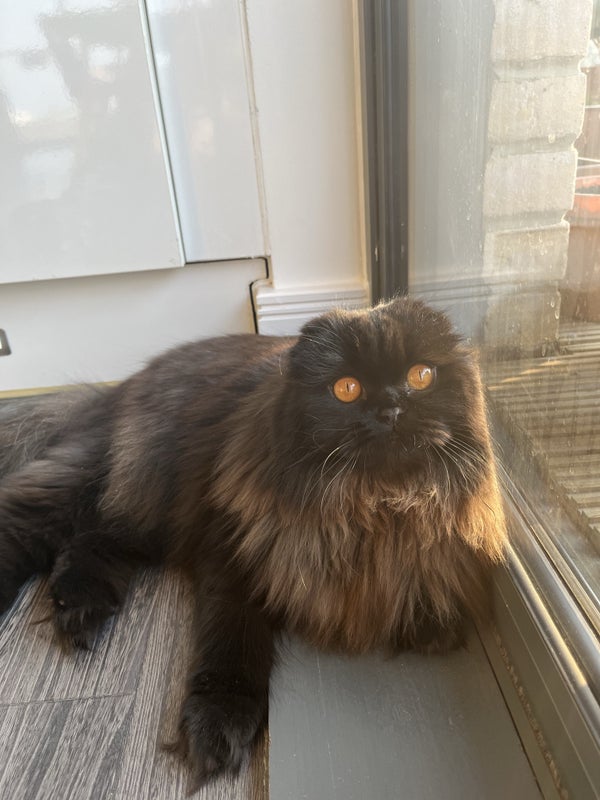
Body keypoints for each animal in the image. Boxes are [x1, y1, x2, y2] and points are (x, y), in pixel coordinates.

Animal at [0, 296, 506, 786]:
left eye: (421, 376)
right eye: (346, 389)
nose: (390, 411)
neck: (372, 507)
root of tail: (121, 388)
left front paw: (426, 624)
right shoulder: (232, 555)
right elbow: (231, 645)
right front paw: (217, 726)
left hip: (140, 510)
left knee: (93, 538)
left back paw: (80, 609)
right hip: (128, 479)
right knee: (27, 522)